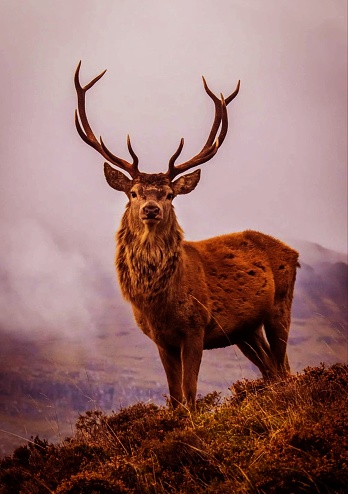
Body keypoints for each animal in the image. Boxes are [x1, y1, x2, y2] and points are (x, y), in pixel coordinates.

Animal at [74, 60, 300, 410]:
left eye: (169, 194)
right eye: (134, 193)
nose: (150, 209)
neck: (159, 304)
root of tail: (294, 253)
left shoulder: (196, 327)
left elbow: (190, 394)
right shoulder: (161, 340)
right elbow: (175, 396)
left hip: (280, 304)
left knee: (283, 366)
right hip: (245, 330)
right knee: (272, 369)